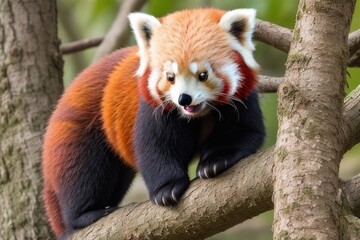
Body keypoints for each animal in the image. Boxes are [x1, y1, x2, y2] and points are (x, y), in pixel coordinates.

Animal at [42, 7, 266, 238]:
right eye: (170, 77)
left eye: (203, 75)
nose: (184, 99)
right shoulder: (154, 107)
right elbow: (154, 146)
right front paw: (166, 189)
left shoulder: (241, 95)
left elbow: (244, 131)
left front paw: (216, 161)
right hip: (80, 128)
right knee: (82, 173)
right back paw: (85, 214)